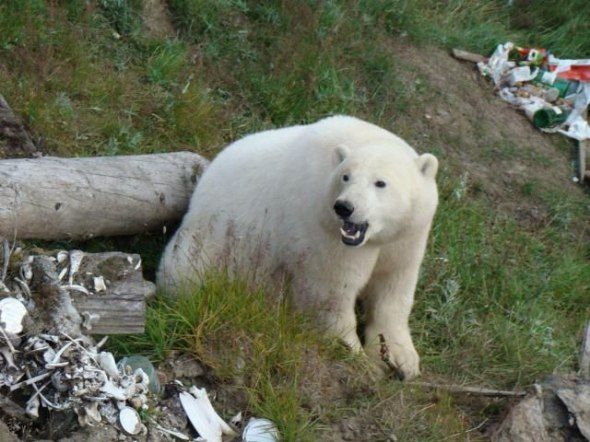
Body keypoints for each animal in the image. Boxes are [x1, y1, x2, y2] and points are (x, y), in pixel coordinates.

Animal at [157, 115, 440, 380]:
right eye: (345, 177)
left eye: (380, 182)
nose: (345, 207)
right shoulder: (322, 227)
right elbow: (330, 293)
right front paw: (358, 360)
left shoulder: (406, 236)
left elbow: (392, 287)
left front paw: (402, 359)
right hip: (211, 243)